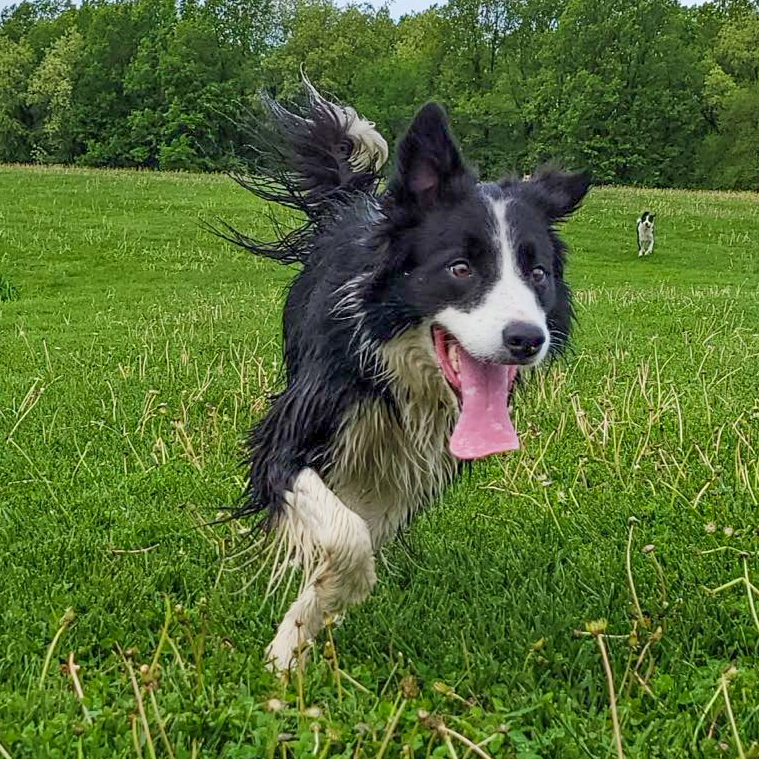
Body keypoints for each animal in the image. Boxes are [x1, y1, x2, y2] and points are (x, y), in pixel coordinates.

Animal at [223, 78, 592, 672]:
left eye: (538, 273)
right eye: (460, 268)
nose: (526, 340)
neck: (397, 369)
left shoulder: (410, 466)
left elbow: (361, 535)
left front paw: (310, 620)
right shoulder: (290, 433)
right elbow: (347, 538)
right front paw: (291, 646)